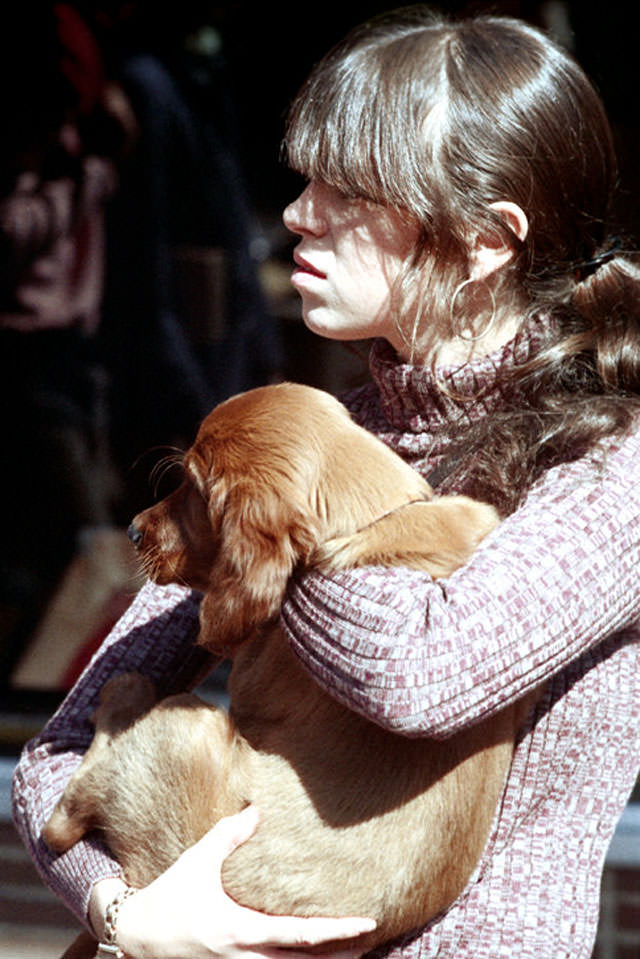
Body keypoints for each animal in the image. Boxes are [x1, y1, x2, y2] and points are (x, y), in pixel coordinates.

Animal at [43, 384, 524, 959]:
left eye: (195, 489)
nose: (134, 530)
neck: (376, 520)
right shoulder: (472, 516)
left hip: (188, 725)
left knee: (65, 816)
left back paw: (121, 693)